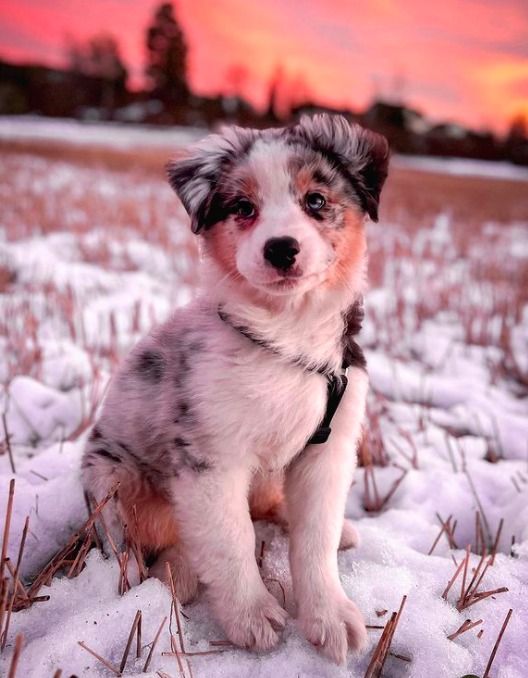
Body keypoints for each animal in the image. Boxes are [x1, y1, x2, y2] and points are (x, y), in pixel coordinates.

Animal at [81, 114, 388, 668]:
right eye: (244, 208)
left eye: (316, 200)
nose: (281, 248)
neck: (286, 338)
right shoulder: (210, 458)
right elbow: (230, 540)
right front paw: (252, 616)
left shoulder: (329, 450)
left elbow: (314, 538)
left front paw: (329, 614)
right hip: (110, 477)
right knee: (136, 546)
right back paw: (164, 575)